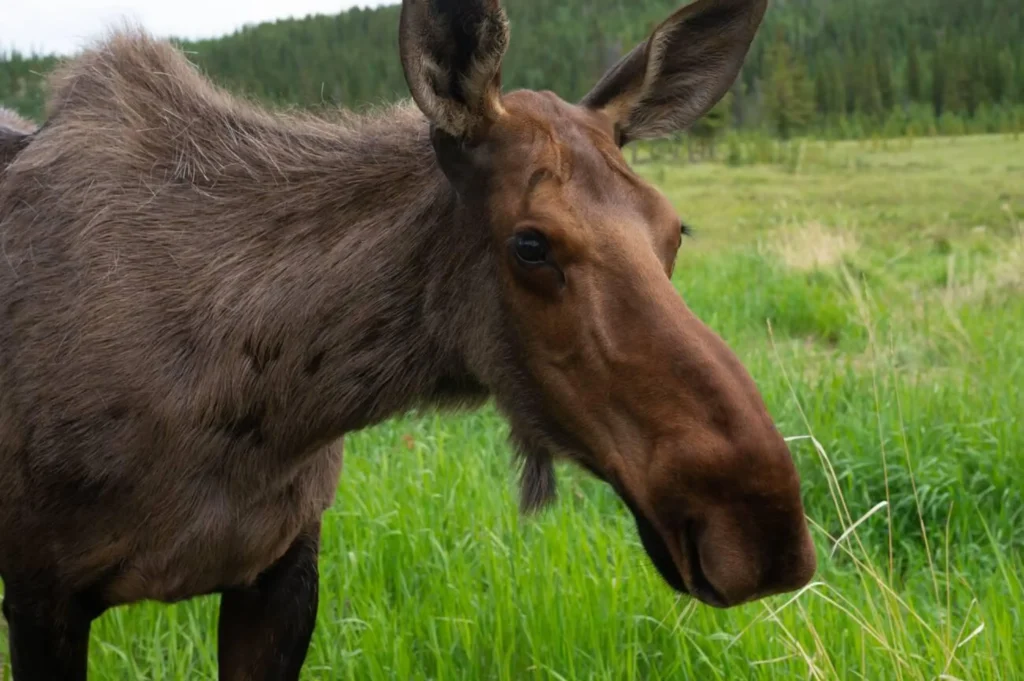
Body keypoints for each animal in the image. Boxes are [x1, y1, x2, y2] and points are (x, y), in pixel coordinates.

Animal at [0, 0, 816, 678]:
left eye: (675, 229)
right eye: (530, 244)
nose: (763, 526)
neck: (257, 412)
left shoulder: (283, 568)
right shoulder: (41, 589)